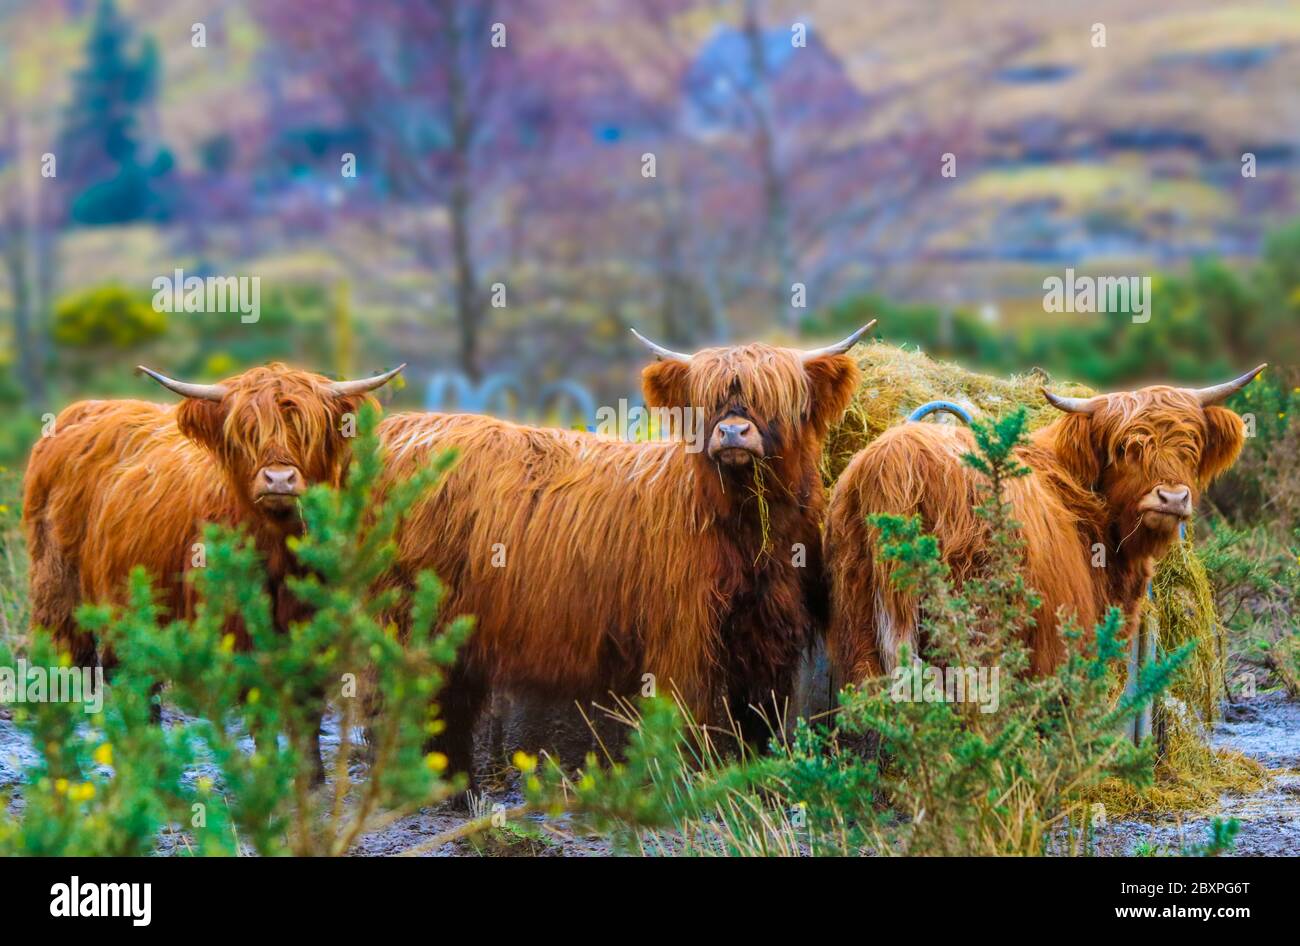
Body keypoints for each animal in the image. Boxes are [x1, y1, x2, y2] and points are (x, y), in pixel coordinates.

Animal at [22, 362, 402, 766]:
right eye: (247, 431)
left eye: (305, 429)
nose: (278, 479)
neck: (277, 550)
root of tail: (83, 410)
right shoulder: (240, 633)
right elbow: (260, 710)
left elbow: (306, 717)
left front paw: (311, 775)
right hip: (59, 591)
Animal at [375, 324, 874, 790]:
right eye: (706, 401)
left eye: (773, 397)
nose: (732, 431)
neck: (746, 531)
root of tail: (402, 429)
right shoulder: (682, 637)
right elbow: (685, 716)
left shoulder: (766, 635)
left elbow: (758, 721)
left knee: (447, 707)